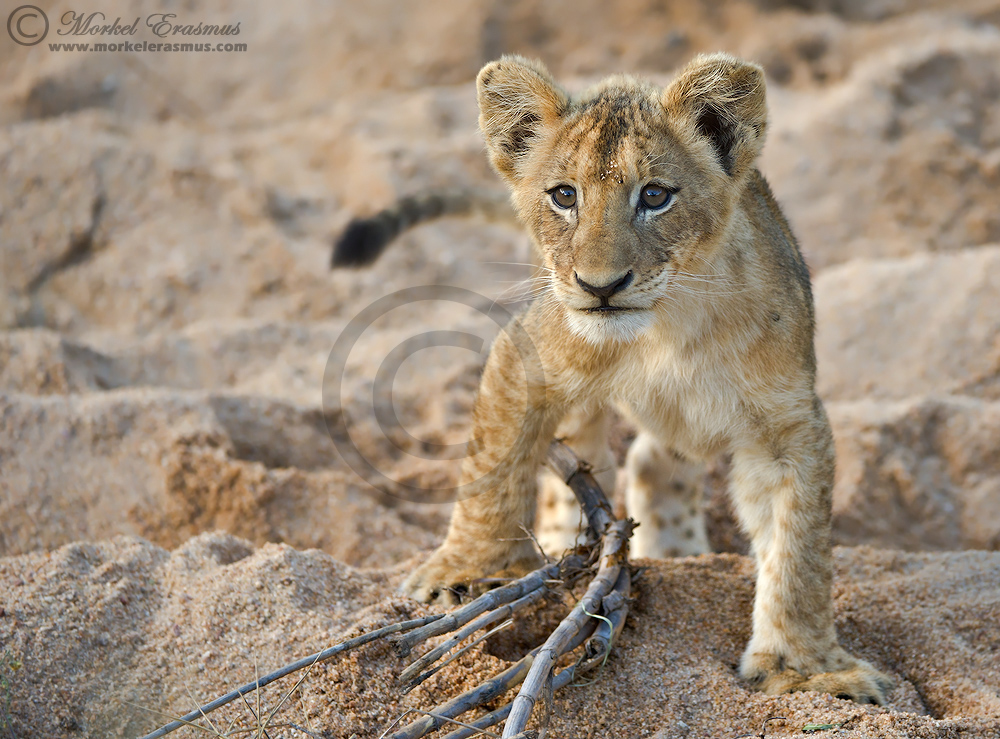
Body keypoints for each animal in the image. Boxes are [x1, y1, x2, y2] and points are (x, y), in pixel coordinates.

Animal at [334, 52, 893, 704]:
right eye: (563, 196)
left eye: (654, 195)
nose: (600, 286)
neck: (670, 328)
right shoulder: (525, 353)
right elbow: (491, 471)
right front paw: (463, 573)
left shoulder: (790, 425)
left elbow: (799, 550)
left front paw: (803, 667)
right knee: (585, 454)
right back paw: (565, 542)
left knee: (653, 462)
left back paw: (677, 554)